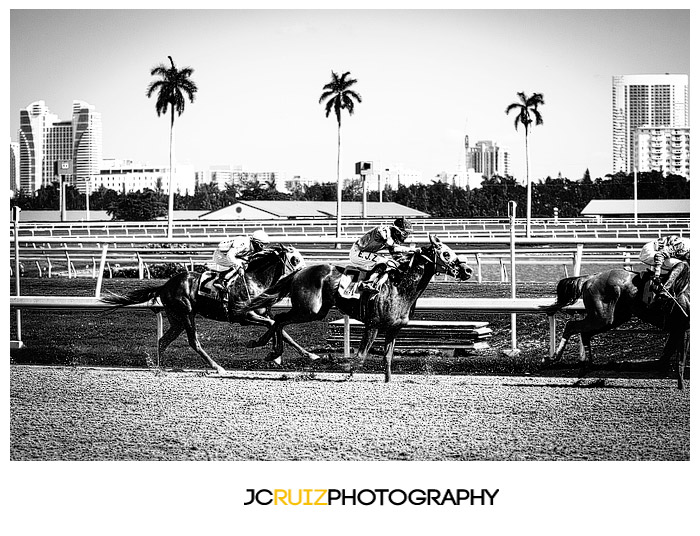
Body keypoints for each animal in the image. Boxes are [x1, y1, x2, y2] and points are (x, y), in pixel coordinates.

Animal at [100, 244, 314, 372]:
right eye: (295, 259)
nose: (306, 273)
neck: (256, 280)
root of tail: (165, 285)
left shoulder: (263, 313)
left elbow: (281, 329)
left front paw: (307, 354)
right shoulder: (244, 316)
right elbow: (272, 326)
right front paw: (266, 349)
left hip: (176, 319)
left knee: (163, 341)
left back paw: (159, 367)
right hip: (186, 314)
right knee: (193, 342)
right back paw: (217, 367)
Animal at [237, 234, 476, 382]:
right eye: (446, 253)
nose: (468, 271)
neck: (399, 288)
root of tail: (299, 271)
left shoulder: (393, 329)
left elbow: (387, 358)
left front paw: (387, 381)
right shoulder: (373, 325)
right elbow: (360, 357)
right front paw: (337, 364)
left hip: (316, 311)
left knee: (277, 321)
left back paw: (269, 349)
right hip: (309, 310)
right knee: (279, 320)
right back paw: (271, 350)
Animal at [540, 264, 688, 388]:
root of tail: (591, 277)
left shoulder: (679, 329)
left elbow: (669, 354)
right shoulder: (683, 327)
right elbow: (678, 357)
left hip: (614, 318)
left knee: (584, 333)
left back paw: (586, 367)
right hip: (602, 317)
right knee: (571, 326)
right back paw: (552, 358)